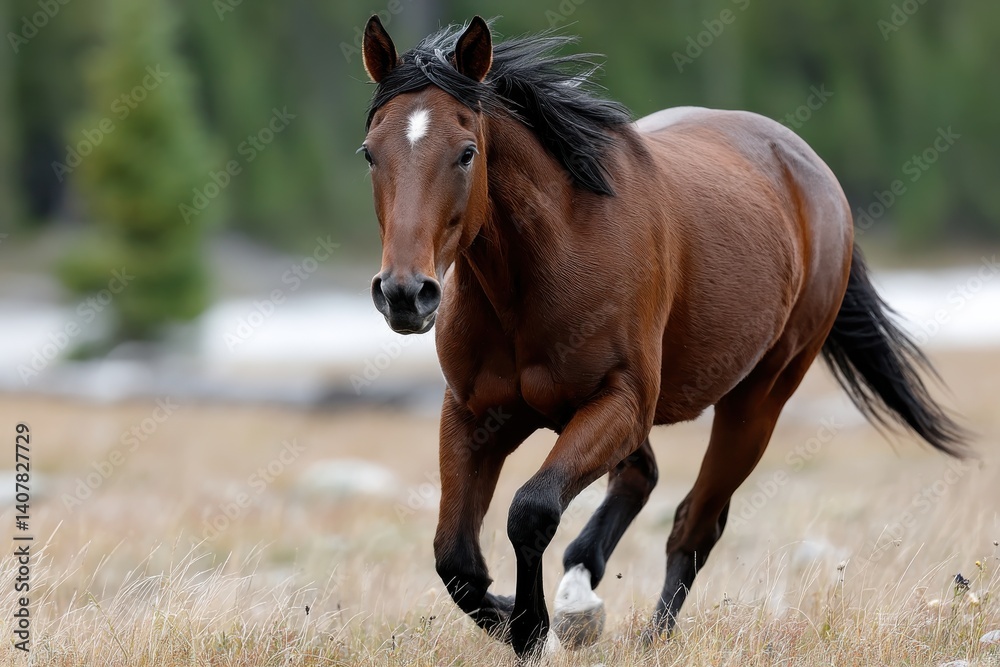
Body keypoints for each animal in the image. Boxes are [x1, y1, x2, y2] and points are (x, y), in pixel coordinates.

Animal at [358, 15, 966, 658]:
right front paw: (521, 617)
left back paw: (648, 634)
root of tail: (816, 175)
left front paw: (531, 628)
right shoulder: (475, 414)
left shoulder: (619, 402)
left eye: (467, 153)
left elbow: (531, 511)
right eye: (370, 152)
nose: (406, 294)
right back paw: (582, 602)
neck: (546, 265)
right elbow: (455, 558)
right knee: (641, 480)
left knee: (696, 523)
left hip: (756, 402)